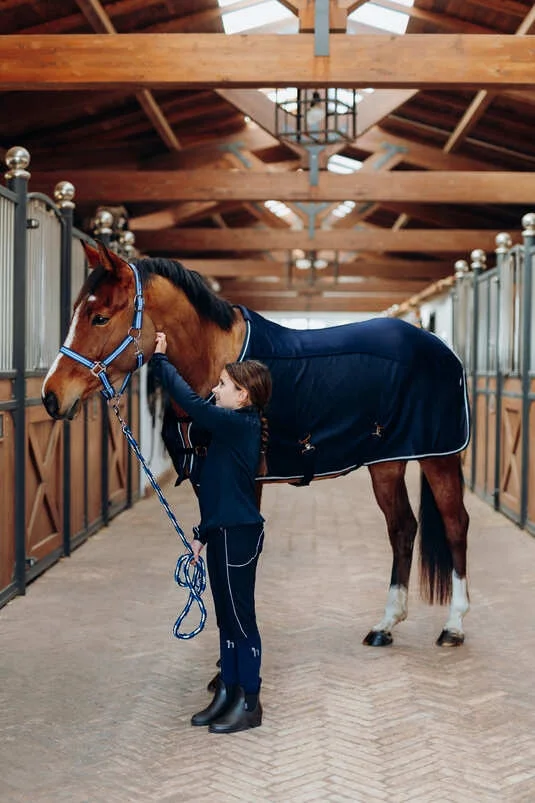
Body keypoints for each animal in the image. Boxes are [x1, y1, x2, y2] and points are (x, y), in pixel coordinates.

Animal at [42, 242, 471, 648]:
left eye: (100, 317)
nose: (50, 396)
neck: (220, 363)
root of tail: (440, 347)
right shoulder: (206, 480)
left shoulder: (247, 483)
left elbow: (237, 559)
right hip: (388, 460)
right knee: (402, 528)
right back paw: (385, 625)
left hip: (439, 458)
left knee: (454, 525)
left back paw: (453, 627)